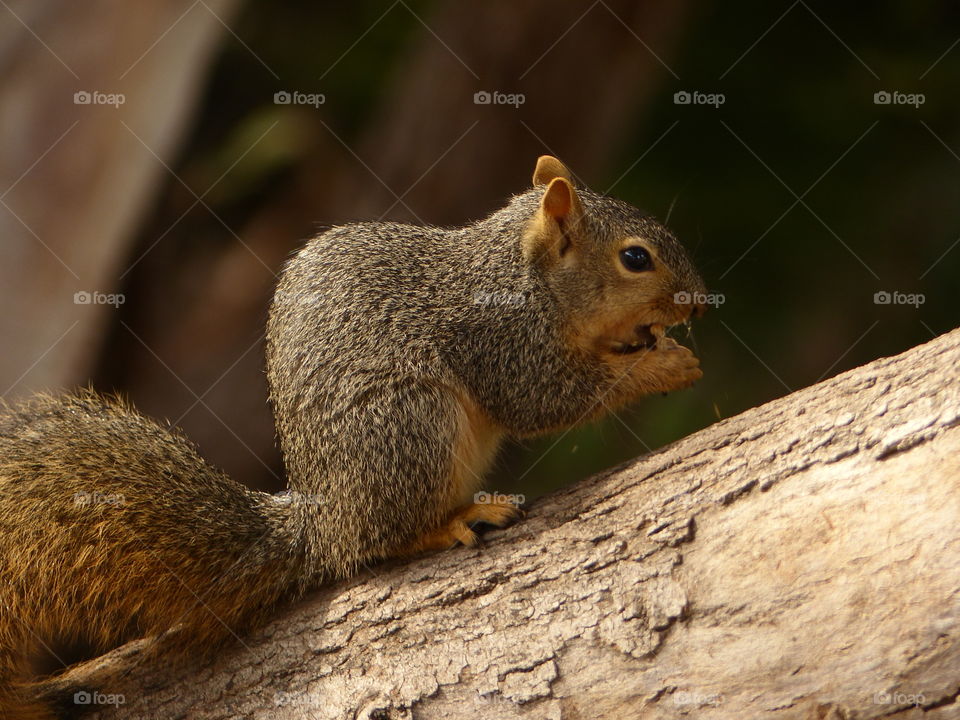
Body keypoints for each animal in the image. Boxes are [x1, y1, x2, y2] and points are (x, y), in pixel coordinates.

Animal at [0, 155, 704, 716]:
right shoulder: (504, 340)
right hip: (408, 424)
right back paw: (451, 522)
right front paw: (661, 365)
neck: (523, 274)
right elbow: (546, 400)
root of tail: (324, 521)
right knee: (380, 542)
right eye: (635, 258)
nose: (697, 303)